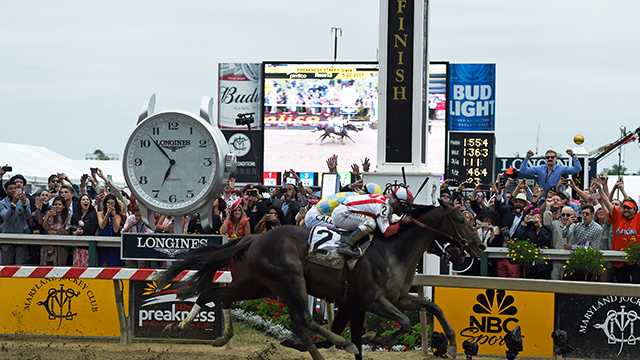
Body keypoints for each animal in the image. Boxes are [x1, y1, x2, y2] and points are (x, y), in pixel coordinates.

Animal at [159, 201, 480, 358]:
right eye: (461, 219)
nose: (477, 247)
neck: (393, 251)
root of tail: (253, 238)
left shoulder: (396, 297)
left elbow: (432, 307)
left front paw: (452, 345)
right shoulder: (372, 300)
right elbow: (400, 322)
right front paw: (371, 338)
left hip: (255, 284)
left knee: (214, 292)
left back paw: (188, 324)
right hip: (290, 280)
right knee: (304, 321)